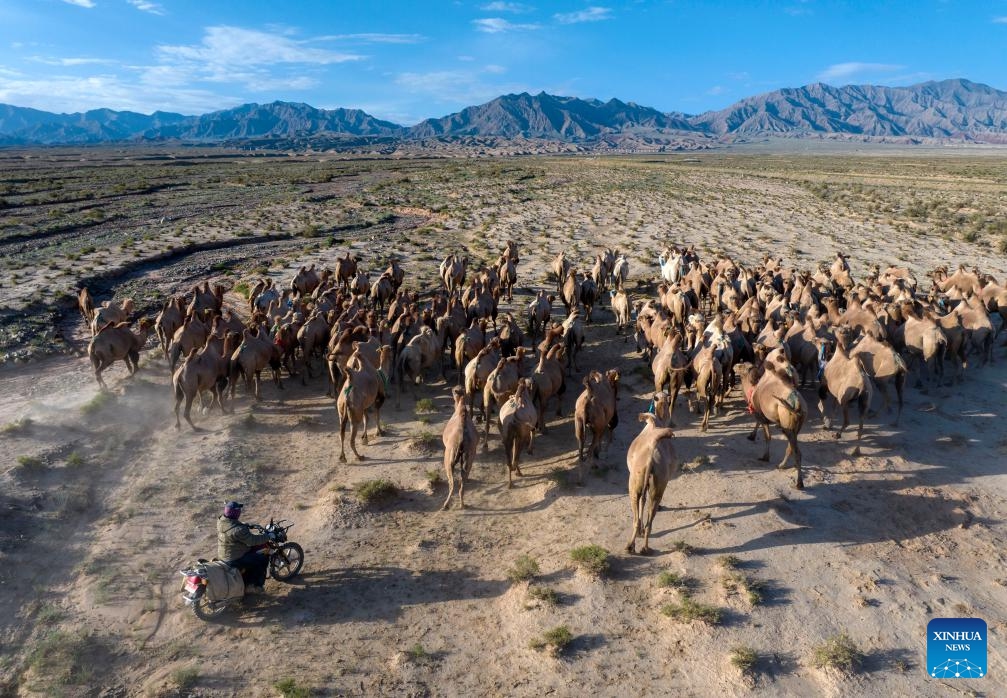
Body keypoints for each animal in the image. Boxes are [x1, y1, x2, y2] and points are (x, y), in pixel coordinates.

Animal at [625, 393, 679, 554]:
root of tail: (650, 457)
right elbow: (644, 501)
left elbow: (642, 502)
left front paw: (640, 532)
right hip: (656, 483)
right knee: (650, 509)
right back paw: (644, 547)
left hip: (636, 482)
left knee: (636, 517)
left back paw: (632, 546)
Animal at [741, 349, 808, 489]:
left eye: (742, 366)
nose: (734, 366)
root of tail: (798, 404)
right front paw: (751, 436)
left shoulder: (761, 414)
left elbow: (767, 436)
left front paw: (765, 456)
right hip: (797, 424)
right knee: (791, 447)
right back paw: (783, 465)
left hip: (787, 422)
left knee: (796, 451)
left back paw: (798, 483)